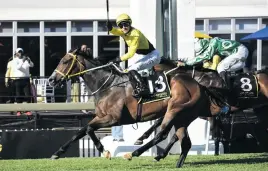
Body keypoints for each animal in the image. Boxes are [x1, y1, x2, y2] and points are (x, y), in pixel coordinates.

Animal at [47, 47, 218, 167]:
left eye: (65, 61)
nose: (51, 80)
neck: (107, 85)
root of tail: (199, 86)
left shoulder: (114, 119)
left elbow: (88, 129)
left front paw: (105, 151)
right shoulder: (101, 116)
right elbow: (81, 131)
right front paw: (57, 153)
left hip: (174, 110)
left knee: (162, 135)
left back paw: (133, 153)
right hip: (183, 117)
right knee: (184, 141)